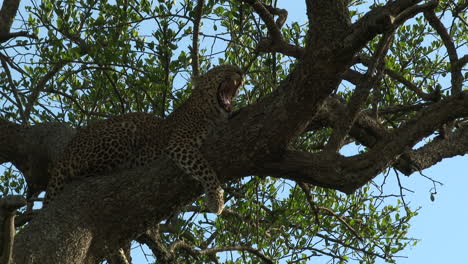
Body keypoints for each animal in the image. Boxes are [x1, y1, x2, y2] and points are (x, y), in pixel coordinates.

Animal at [44, 64, 245, 214]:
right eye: (223, 68)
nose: (240, 71)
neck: (212, 111)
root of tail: (66, 152)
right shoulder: (179, 143)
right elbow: (205, 168)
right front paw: (216, 199)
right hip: (122, 132)